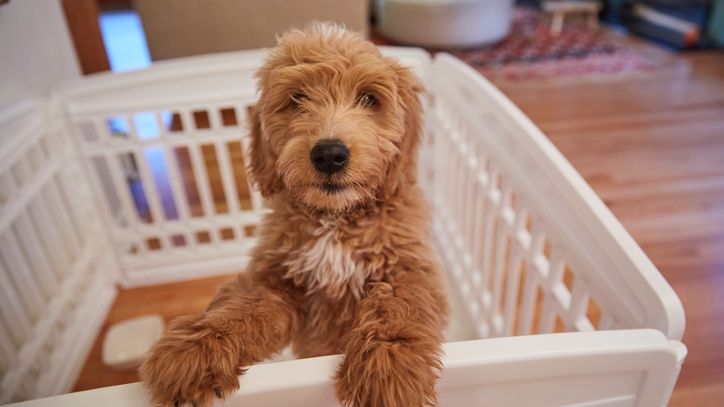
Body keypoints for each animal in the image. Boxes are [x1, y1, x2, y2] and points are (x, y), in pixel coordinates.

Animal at [140, 23, 446, 407]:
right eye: (298, 98)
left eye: (368, 99)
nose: (329, 154)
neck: (335, 218)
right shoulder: (277, 280)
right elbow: (245, 306)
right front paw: (197, 348)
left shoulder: (409, 268)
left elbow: (398, 307)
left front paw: (388, 371)